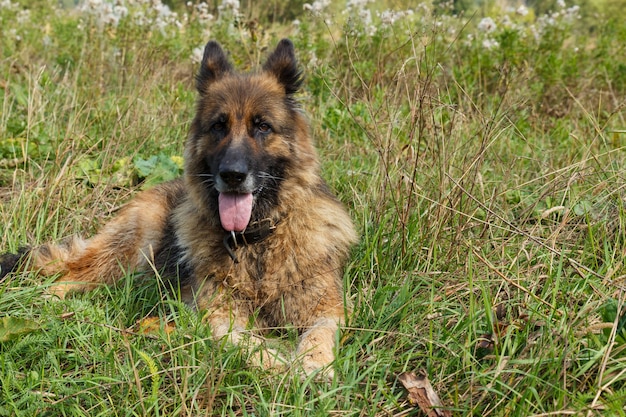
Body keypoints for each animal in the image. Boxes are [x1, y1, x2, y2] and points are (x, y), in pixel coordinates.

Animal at [0, 39, 356, 376]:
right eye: (218, 126)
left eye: (262, 126)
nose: (232, 175)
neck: (256, 243)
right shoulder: (218, 316)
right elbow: (244, 343)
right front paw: (282, 366)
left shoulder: (327, 309)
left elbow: (318, 335)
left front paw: (311, 365)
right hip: (130, 251)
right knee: (69, 274)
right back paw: (49, 303)